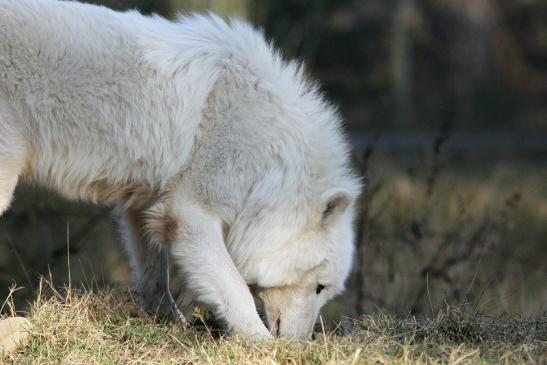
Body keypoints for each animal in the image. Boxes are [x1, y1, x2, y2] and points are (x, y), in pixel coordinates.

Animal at [1, 0, 364, 338]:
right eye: (319, 287)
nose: (298, 344)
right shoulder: (191, 212)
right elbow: (234, 287)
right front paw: (260, 343)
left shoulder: (145, 204)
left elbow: (154, 275)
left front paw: (167, 322)